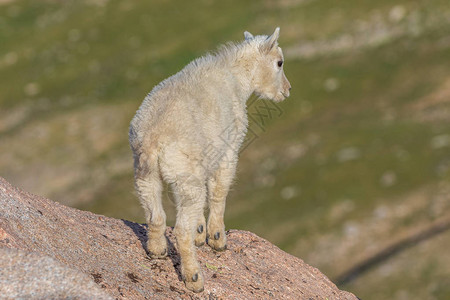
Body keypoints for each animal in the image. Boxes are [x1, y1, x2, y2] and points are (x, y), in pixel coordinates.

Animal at [129, 27, 292, 290]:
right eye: (280, 62)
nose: (287, 90)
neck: (237, 78)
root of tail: (153, 139)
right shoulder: (228, 149)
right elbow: (219, 191)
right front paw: (216, 238)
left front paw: (200, 232)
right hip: (185, 174)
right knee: (181, 229)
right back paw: (194, 278)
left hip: (145, 172)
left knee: (156, 215)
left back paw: (157, 251)